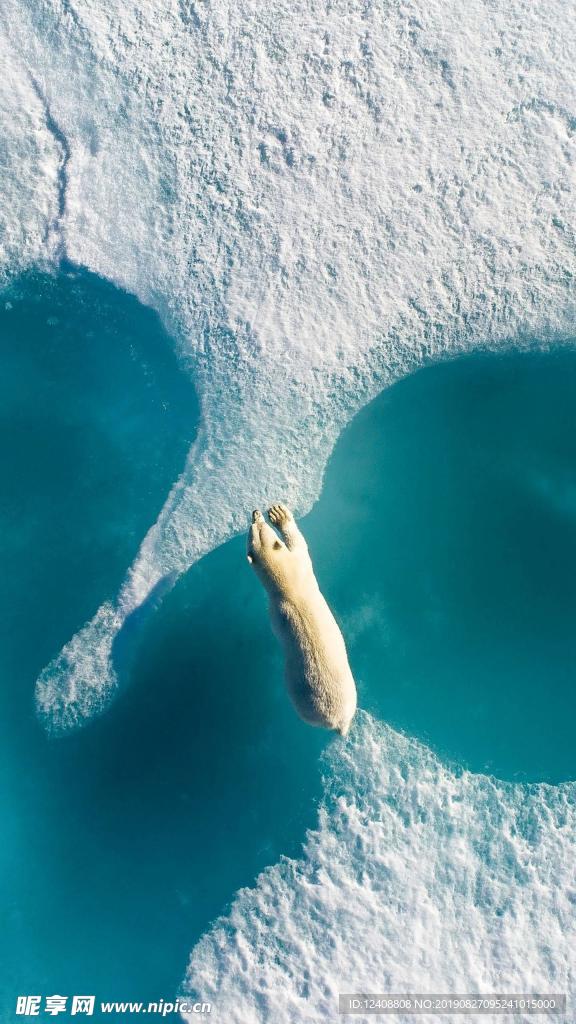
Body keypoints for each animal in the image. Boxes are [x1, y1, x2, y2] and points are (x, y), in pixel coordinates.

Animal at [247, 504, 357, 736]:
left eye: (258, 527)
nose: (255, 513)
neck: (288, 586)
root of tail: (337, 721)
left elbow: (300, 546)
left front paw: (277, 514)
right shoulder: (297, 569)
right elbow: (299, 544)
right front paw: (280, 515)